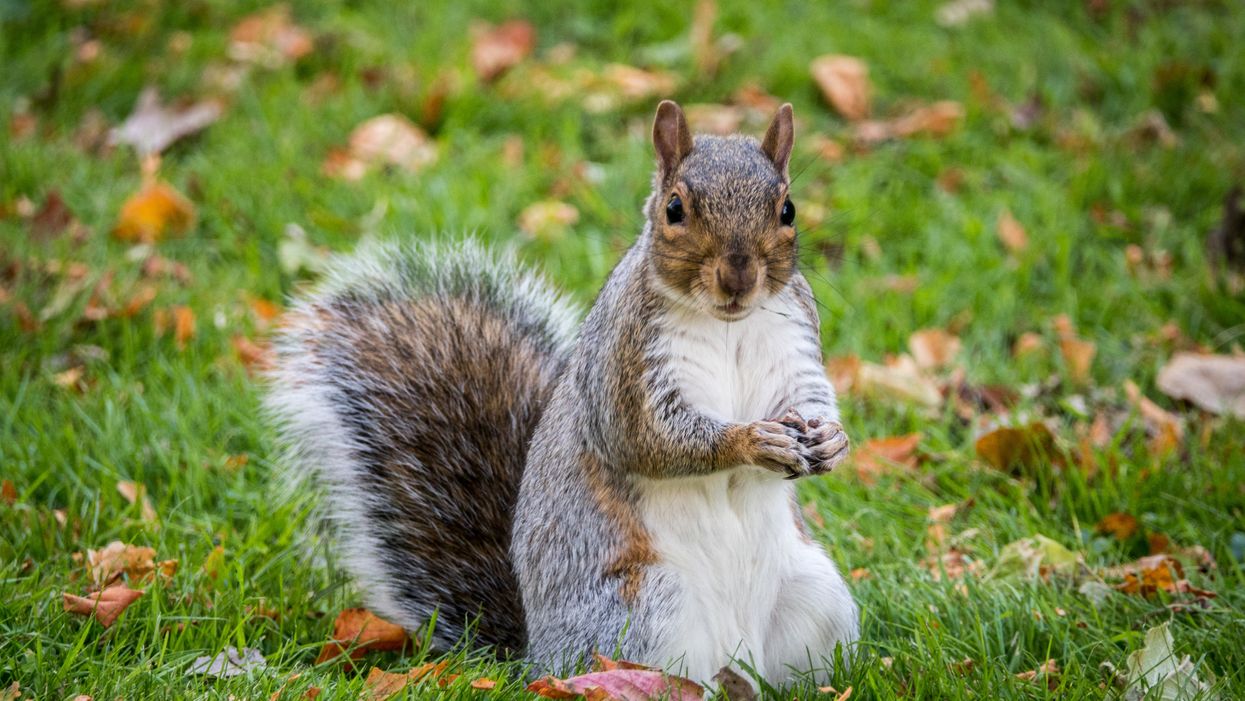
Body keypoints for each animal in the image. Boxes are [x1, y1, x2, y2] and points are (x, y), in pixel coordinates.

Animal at [267, 101, 861, 687]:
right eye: (675, 209)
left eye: (787, 210)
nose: (738, 277)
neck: (727, 324)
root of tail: (536, 657)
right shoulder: (625, 365)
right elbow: (648, 439)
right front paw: (753, 442)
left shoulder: (794, 345)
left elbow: (809, 397)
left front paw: (832, 442)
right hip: (645, 611)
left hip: (816, 597)